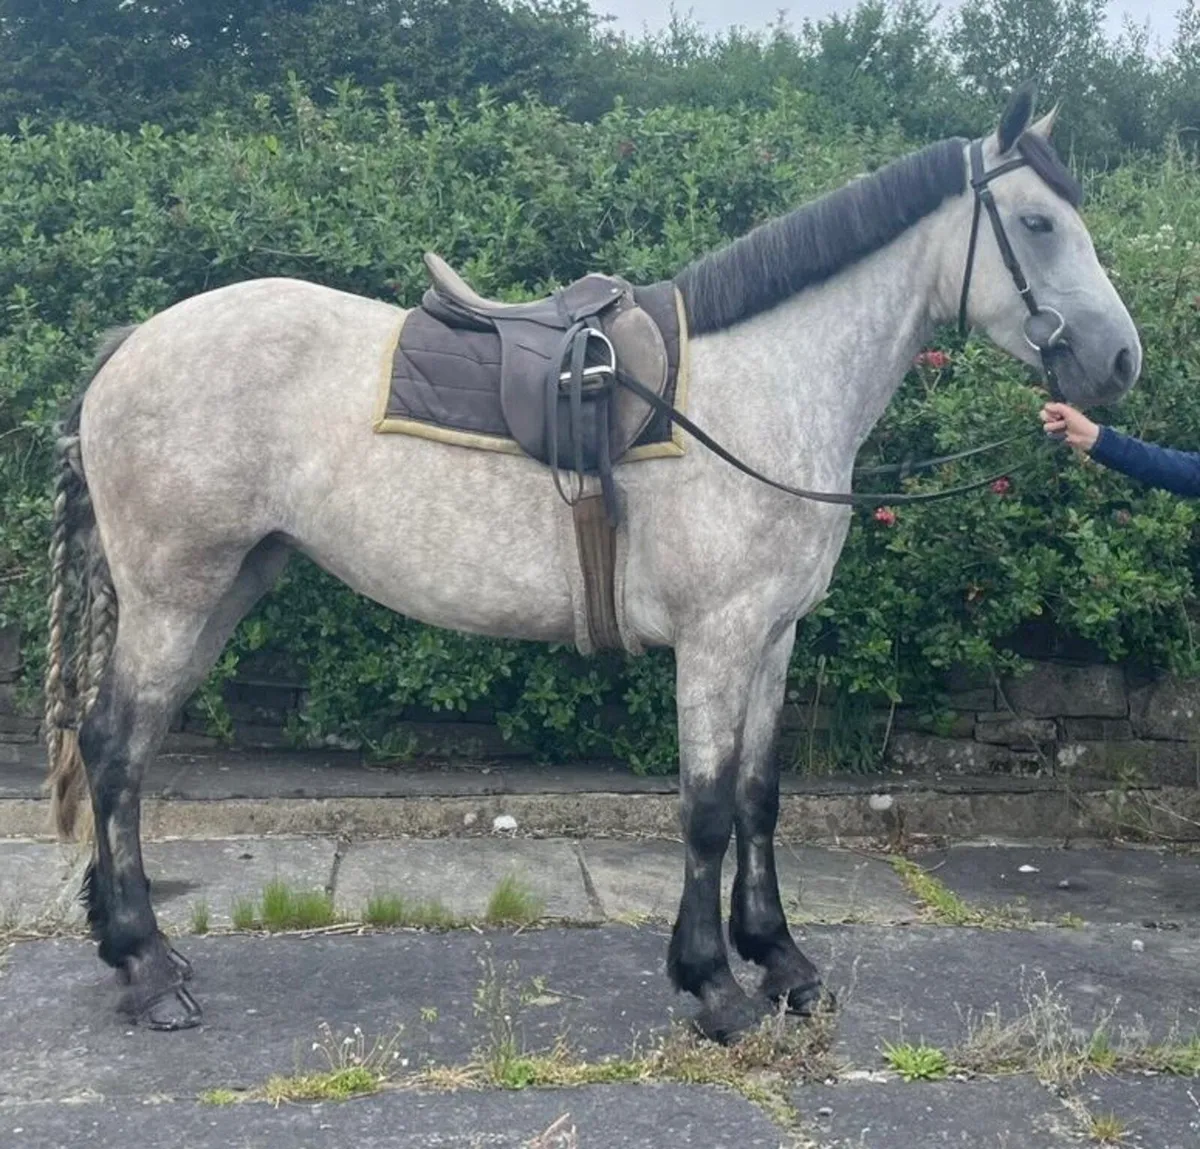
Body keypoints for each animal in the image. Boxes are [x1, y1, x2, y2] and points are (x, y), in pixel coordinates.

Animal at [43, 84, 1140, 1039]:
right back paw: (146, 969)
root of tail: (130, 344)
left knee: (129, 752)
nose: (1120, 361)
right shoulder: (718, 638)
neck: (759, 384)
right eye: (1038, 224)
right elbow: (705, 809)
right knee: (113, 750)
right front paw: (715, 987)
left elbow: (759, 797)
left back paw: (137, 950)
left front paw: (781, 961)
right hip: (174, 595)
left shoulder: (773, 636)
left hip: (224, 589)